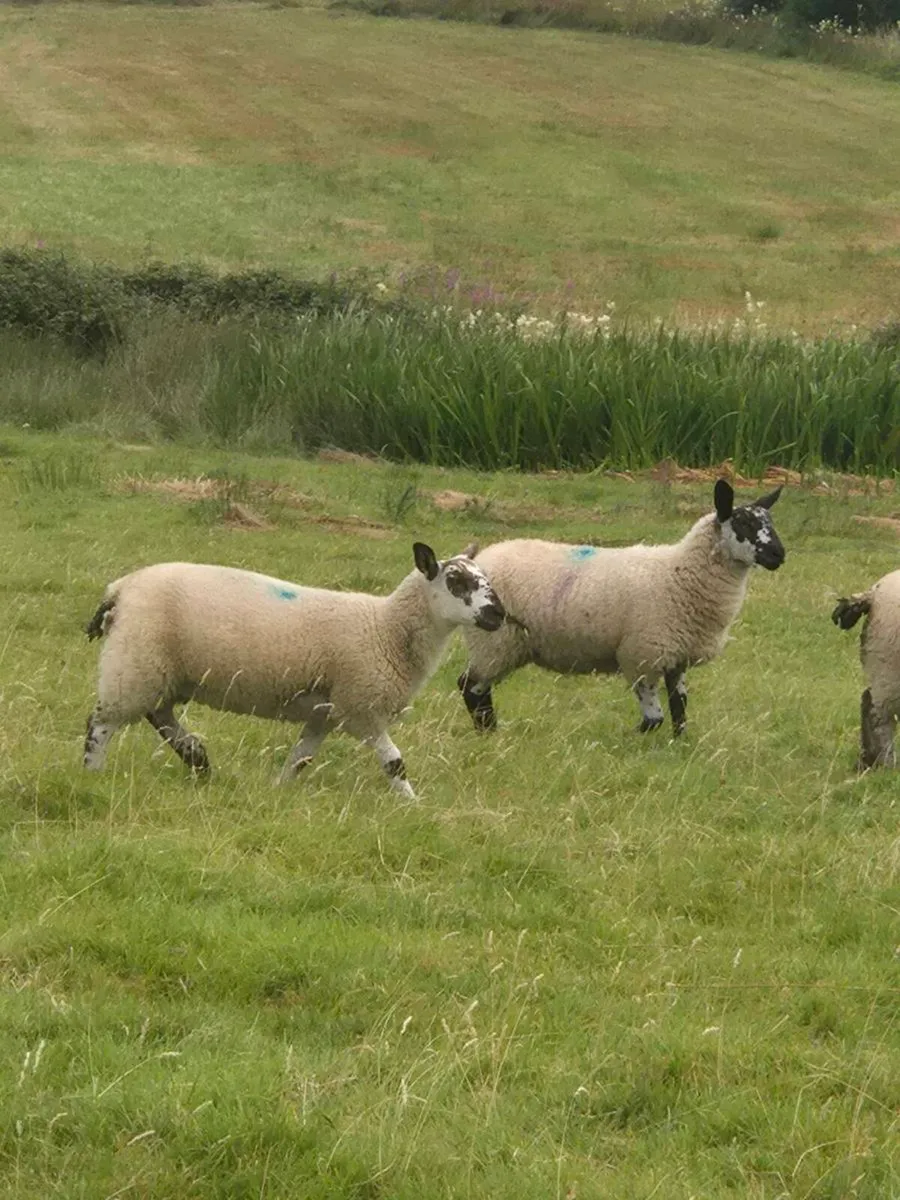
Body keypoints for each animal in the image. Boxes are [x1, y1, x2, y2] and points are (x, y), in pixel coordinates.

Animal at [83, 543, 506, 798]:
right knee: (101, 723)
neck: (386, 628)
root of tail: (119, 588)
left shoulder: (325, 714)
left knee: (159, 714)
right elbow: (395, 762)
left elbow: (299, 759)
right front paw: (413, 807)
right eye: (455, 580)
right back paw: (93, 773)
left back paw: (198, 759)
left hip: (160, 671)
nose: (498, 615)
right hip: (135, 660)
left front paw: (278, 791)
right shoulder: (360, 708)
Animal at [457, 479, 785, 737]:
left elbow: (680, 708)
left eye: (770, 523)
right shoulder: (641, 655)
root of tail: (476, 560)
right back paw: (488, 733)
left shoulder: (676, 656)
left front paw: (679, 745)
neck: (680, 573)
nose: (778, 554)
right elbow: (654, 718)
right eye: (744, 524)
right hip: (494, 641)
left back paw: (490, 731)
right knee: (469, 686)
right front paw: (632, 740)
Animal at [832, 570, 900, 770]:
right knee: (878, 714)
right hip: (888, 664)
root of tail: (873, 592)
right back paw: (886, 764)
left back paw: (868, 759)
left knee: (866, 700)